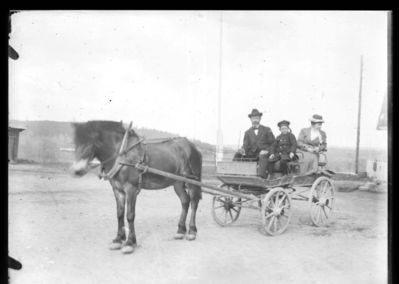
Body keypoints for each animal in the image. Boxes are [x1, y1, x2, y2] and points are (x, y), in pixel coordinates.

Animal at [69, 121, 203, 254]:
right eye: (76, 141)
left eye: (91, 140)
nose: (77, 170)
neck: (122, 155)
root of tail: (192, 147)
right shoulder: (117, 190)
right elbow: (119, 214)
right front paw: (118, 240)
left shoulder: (131, 189)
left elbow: (130, 215)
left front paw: (130, 242)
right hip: (177, 182)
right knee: (185, 201)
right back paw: (180, 231)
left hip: (192, 181)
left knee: (194, 203)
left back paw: (192, 231)